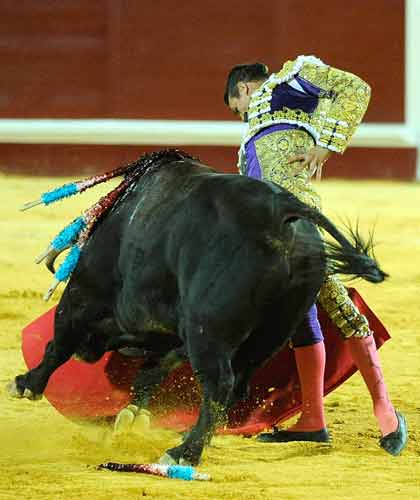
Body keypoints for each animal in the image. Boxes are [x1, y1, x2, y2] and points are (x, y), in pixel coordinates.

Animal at [9, 156, 386, 464]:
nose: (88, 354)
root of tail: (282, 210)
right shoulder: (177, 332)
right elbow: (152, 371)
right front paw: (130, 415)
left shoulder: (84, 296)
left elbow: (58, 343)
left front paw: (27, 383)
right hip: (271, 332)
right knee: (237, 385)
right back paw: (193, 440)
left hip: (208, 328)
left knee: (220, 383)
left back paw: (184, 452)